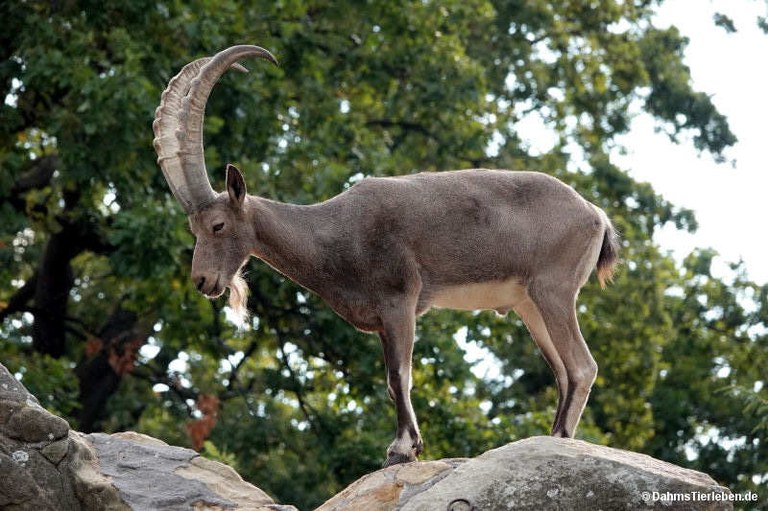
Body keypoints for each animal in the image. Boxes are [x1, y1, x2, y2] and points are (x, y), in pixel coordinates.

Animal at [153, 45, 619, 467]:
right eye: (194, 228)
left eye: (217, 225)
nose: (202, 281)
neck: (335, 231)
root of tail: (595, 214)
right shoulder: (381, 319)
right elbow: (392, 380)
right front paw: (403, 446)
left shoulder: (401, 301)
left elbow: (400, 377)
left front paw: (401, 449)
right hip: (529, 305)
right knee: (563, 370)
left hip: (553, 290)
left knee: (583, 367)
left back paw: (558, 438)